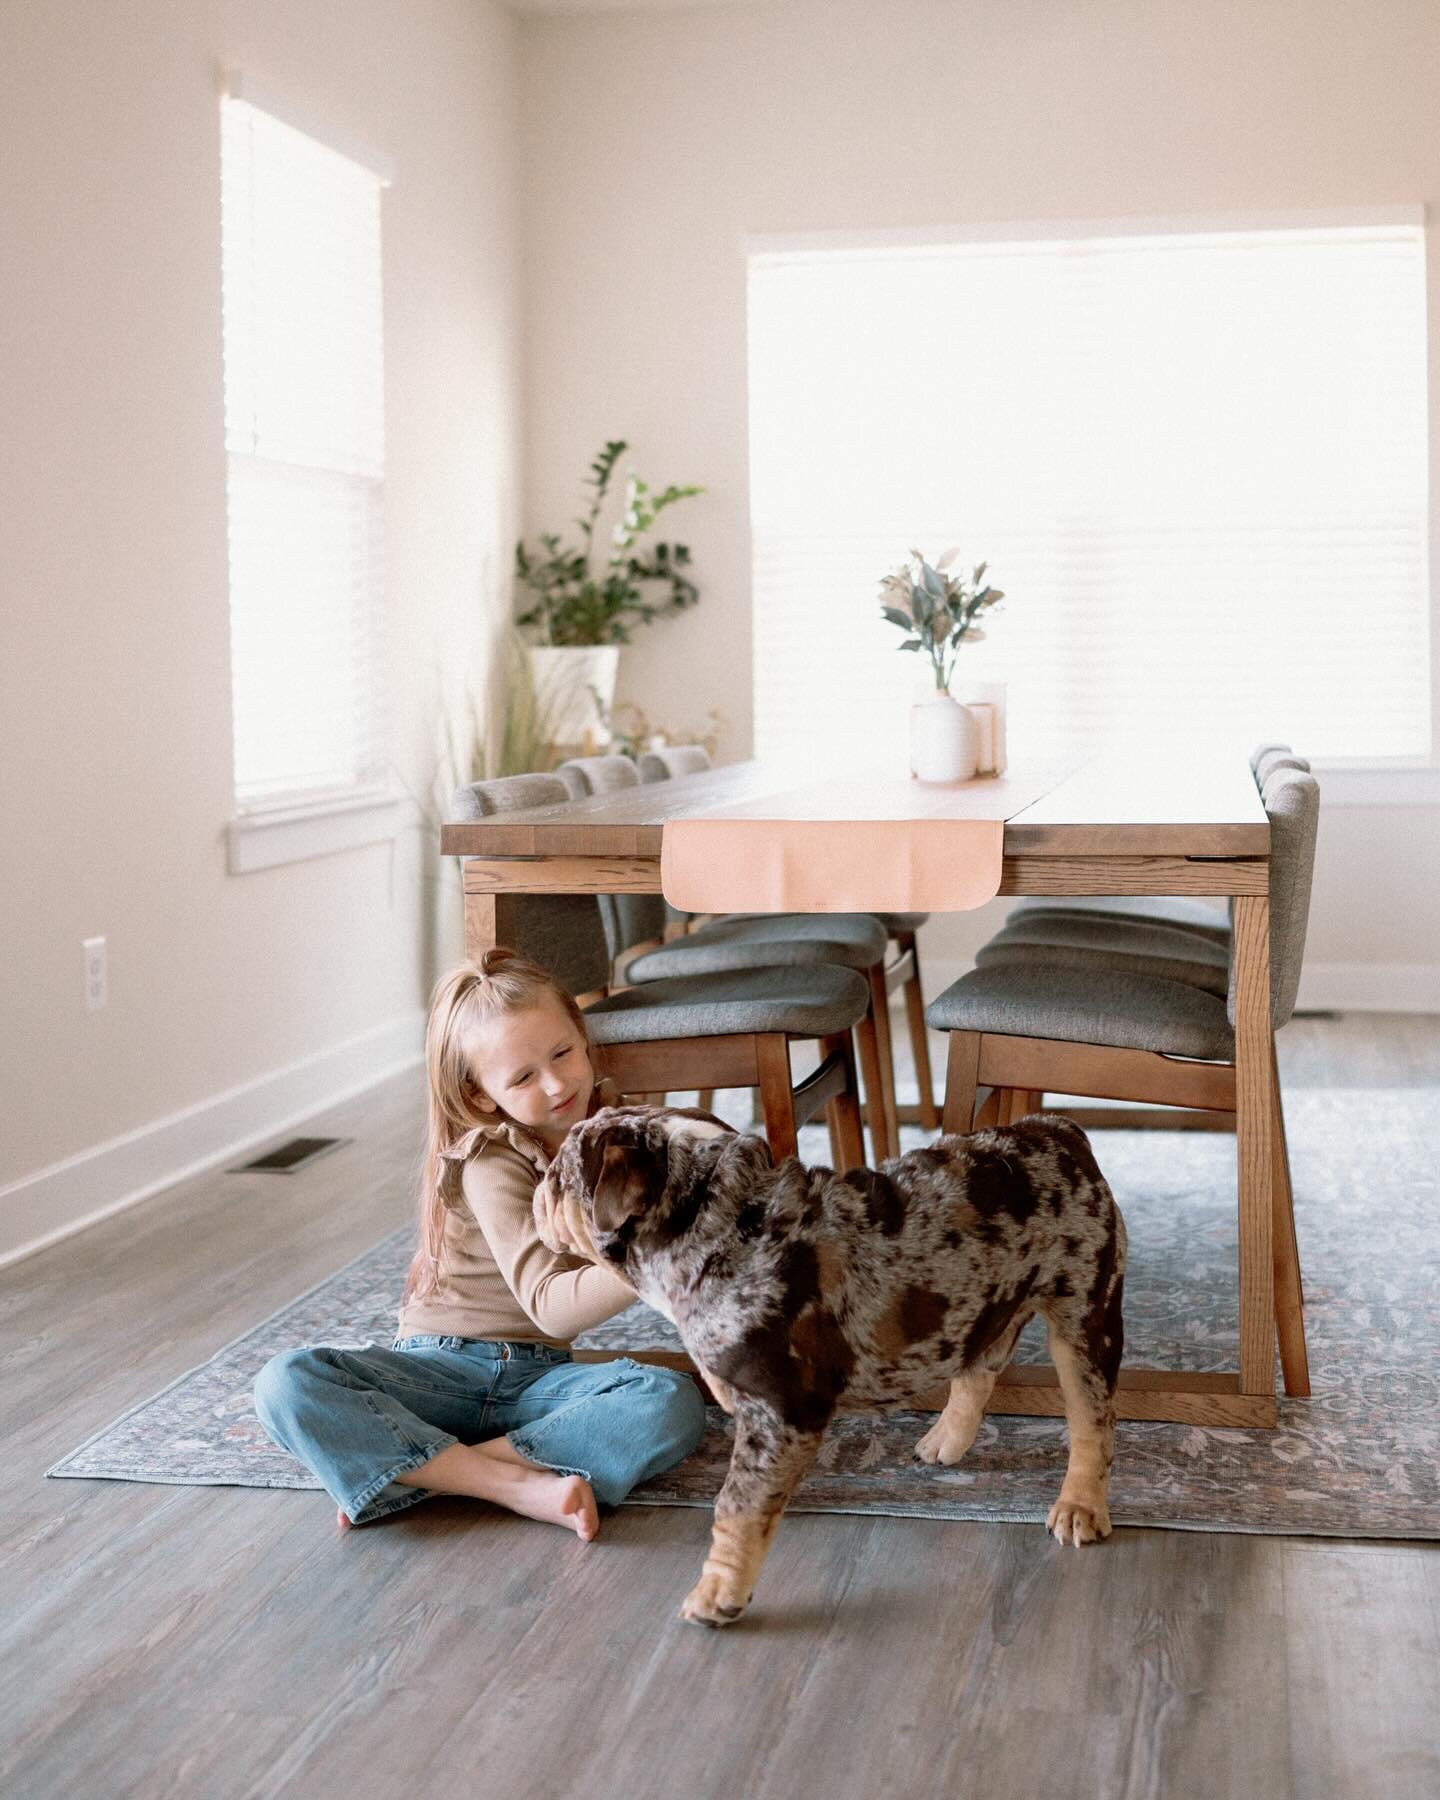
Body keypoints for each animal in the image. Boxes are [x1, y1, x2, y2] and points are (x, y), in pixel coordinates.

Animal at [536, 1101, 1123, 1627]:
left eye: (558, 1174)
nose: (539, 1187)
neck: (716, 1223)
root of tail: (1057, 1129)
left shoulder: (777, 1415)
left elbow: (736, 1509)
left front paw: (716, 1596)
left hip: (1084, 1314)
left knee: (1091, 1419)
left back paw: (1080, 1507)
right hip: (987, 1303)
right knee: (978, 1368)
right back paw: (946, 1440)